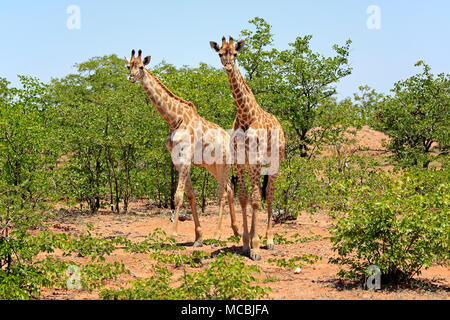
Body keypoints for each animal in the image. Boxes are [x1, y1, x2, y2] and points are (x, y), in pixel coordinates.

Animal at [125, 49, 241, 248]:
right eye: (128, 66)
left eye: (140, 66)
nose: (131, 77)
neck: (174, 119)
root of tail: (229, 139)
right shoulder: (178, 161)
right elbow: (191, 196)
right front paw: (198, 237)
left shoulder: (185, 159)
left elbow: (178, 196)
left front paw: (172, 236)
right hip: (212, 166)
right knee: (229, 188)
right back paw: (236, 232)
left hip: (224, 163)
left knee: (223, 192)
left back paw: (218, 235)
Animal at [210, 37, 286, 262]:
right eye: (220, 54)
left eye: (235, 54)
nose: (228, 66)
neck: (245, 116)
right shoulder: (239, 160)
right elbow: (244, 198)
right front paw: (245, 243)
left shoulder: (256, 159)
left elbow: (255, 199)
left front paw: (256, 247)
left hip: (275, 160)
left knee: (269, 194)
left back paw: (269, 240)